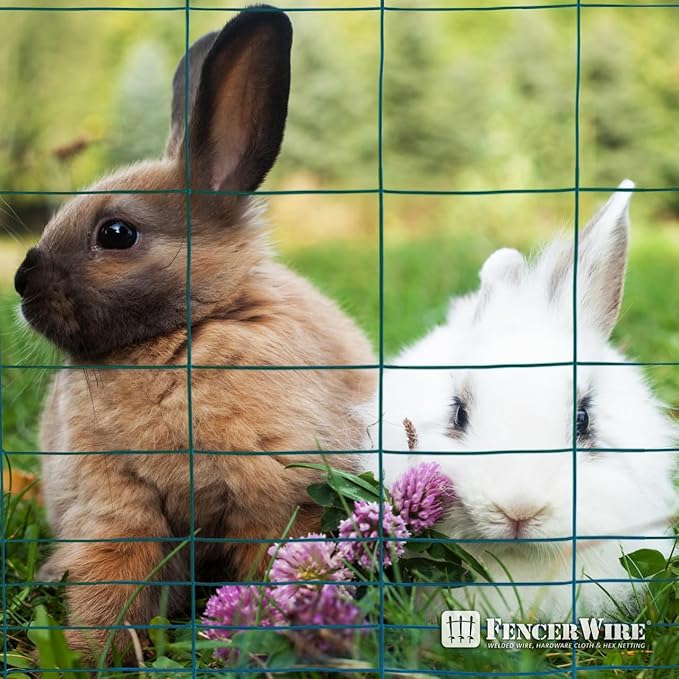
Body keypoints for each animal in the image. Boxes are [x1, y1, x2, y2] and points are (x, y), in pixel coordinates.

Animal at [13, 6, 375, 659]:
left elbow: (270, 567)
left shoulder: (275, 501)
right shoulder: (115, 506)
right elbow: (114, 577)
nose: (21, 282)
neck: (178, 335)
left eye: (116, 233)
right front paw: (94, 655)